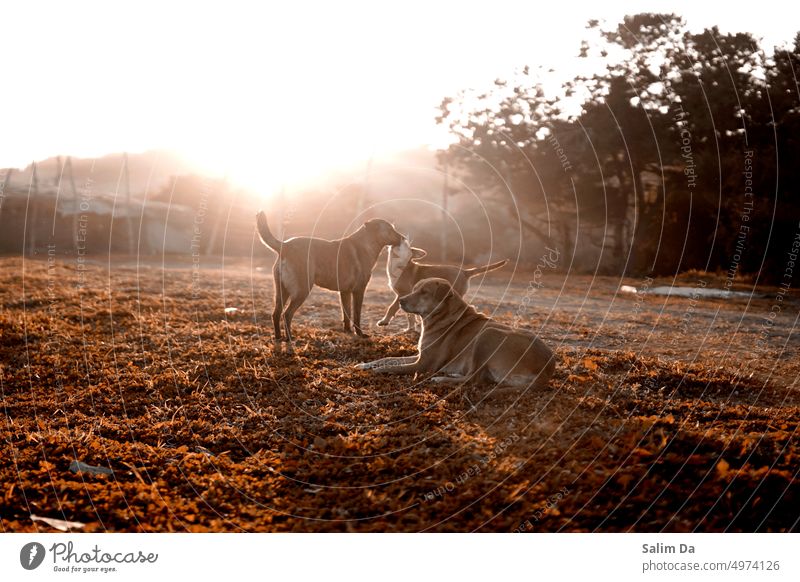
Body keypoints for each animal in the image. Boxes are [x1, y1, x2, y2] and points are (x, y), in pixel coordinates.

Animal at [258, 211, 406, 344]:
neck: (367, 243)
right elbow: (356, 315)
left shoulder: (345, 292)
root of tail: (285, 246)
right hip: (302, 290)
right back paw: (289, 339)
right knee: (287, 314)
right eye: (391, 230)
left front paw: (348, 331)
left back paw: (278, 337)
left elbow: (346, 314)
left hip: (282, 291)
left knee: (276, 314)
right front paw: (360, 334)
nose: (404, 237)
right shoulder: (358, 291)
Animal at [358, 280, 556, 390]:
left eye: (424, 292)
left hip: (487, 334)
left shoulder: (424, 364)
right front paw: (364, 364)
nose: (400, 300)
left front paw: (378, 370)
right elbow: (388, 358)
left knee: (474, 379)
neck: (443, 316)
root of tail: (546, 368)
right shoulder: (420, 355)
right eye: (415, 289)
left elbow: (396, 367)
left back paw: (441, 379)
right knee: (477, 376)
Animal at [376, 240, 506, 334]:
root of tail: (464, 271)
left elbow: (393, 308)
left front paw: (385, 322)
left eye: (405, 244)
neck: (399, 265)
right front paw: (412, 327)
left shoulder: (403, 293)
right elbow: (409, 314)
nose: (398, 239)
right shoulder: (405, 295)